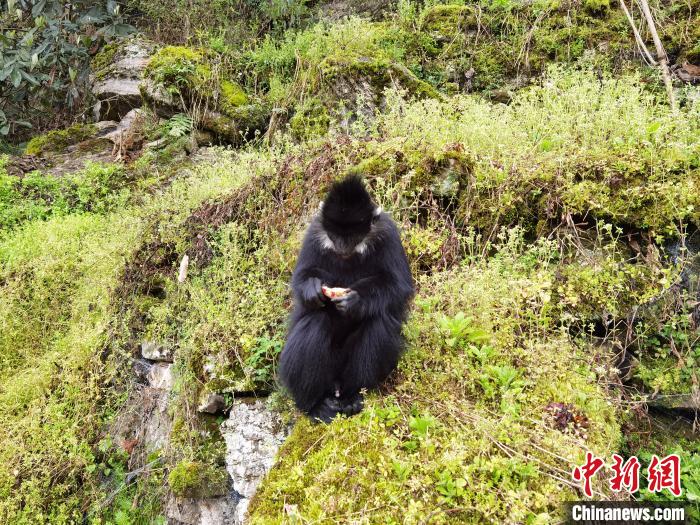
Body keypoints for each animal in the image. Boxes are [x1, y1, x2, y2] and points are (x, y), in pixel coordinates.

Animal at [278, 175, 412, 422]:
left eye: (352, 235)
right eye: (336, 235)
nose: (342, 245)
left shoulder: (388, 232)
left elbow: (398, 285)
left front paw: (355, 302)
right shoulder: (314, 232)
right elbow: (302, 275)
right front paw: (311, 288)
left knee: (378, 319)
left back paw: (351, 398)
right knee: (316, 320)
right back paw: (314, 405)